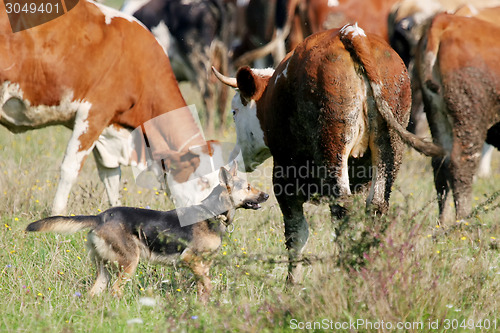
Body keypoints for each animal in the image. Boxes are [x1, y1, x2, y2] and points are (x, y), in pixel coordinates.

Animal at [0, 0, 208, 213]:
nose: (216, 215)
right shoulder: (94, 113)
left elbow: (111, 176)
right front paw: (57, 212)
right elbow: (70, 168)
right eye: (205, 180)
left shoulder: (108, 128)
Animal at [26, 162, 270, 300]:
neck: (212, 212)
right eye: (248, 188)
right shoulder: (189, 259)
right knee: (116, 290)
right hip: (129, 262)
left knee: (95, 292)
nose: (267, 195)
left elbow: (204, 287)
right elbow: (208, 285)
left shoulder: (203, 265)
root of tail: (101, 216)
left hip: (104, 268)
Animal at [215, 24, 442, 282]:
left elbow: (296, 234)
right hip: (389, 148)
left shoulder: (285, 180)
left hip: (333, 150)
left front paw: (292, 283)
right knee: (376, 207)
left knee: (341, 208)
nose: (235, 158)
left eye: (234, 112)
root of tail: (351, 33)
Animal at [416, 11, 500, 222]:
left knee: (440, 164)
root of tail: (447, 20)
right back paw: (463, 220)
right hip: (469, 120)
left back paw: (443, 222)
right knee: (461, 163)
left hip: (437, 115)